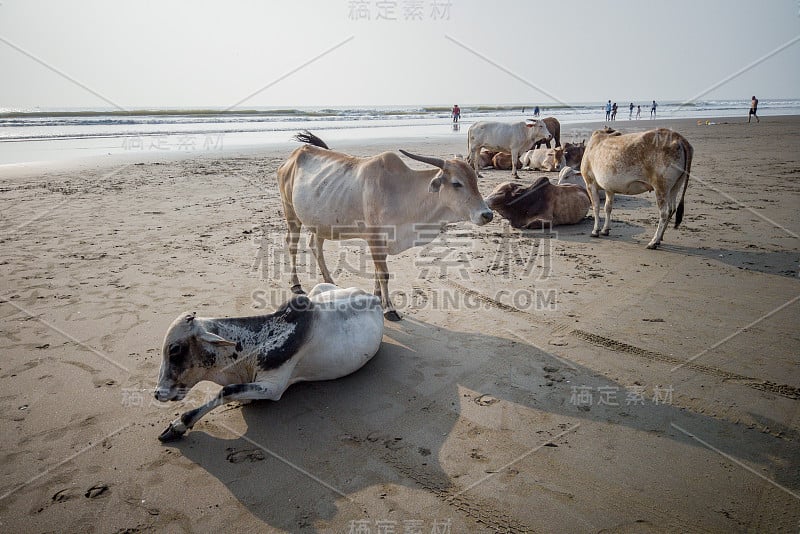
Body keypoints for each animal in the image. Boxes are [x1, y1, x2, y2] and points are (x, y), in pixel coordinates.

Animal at [155, 284, 386, 444]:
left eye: (175, 350)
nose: (157, 393)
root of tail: (372, 296)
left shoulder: (273, 387)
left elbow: (227, 391)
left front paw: (178, 426)